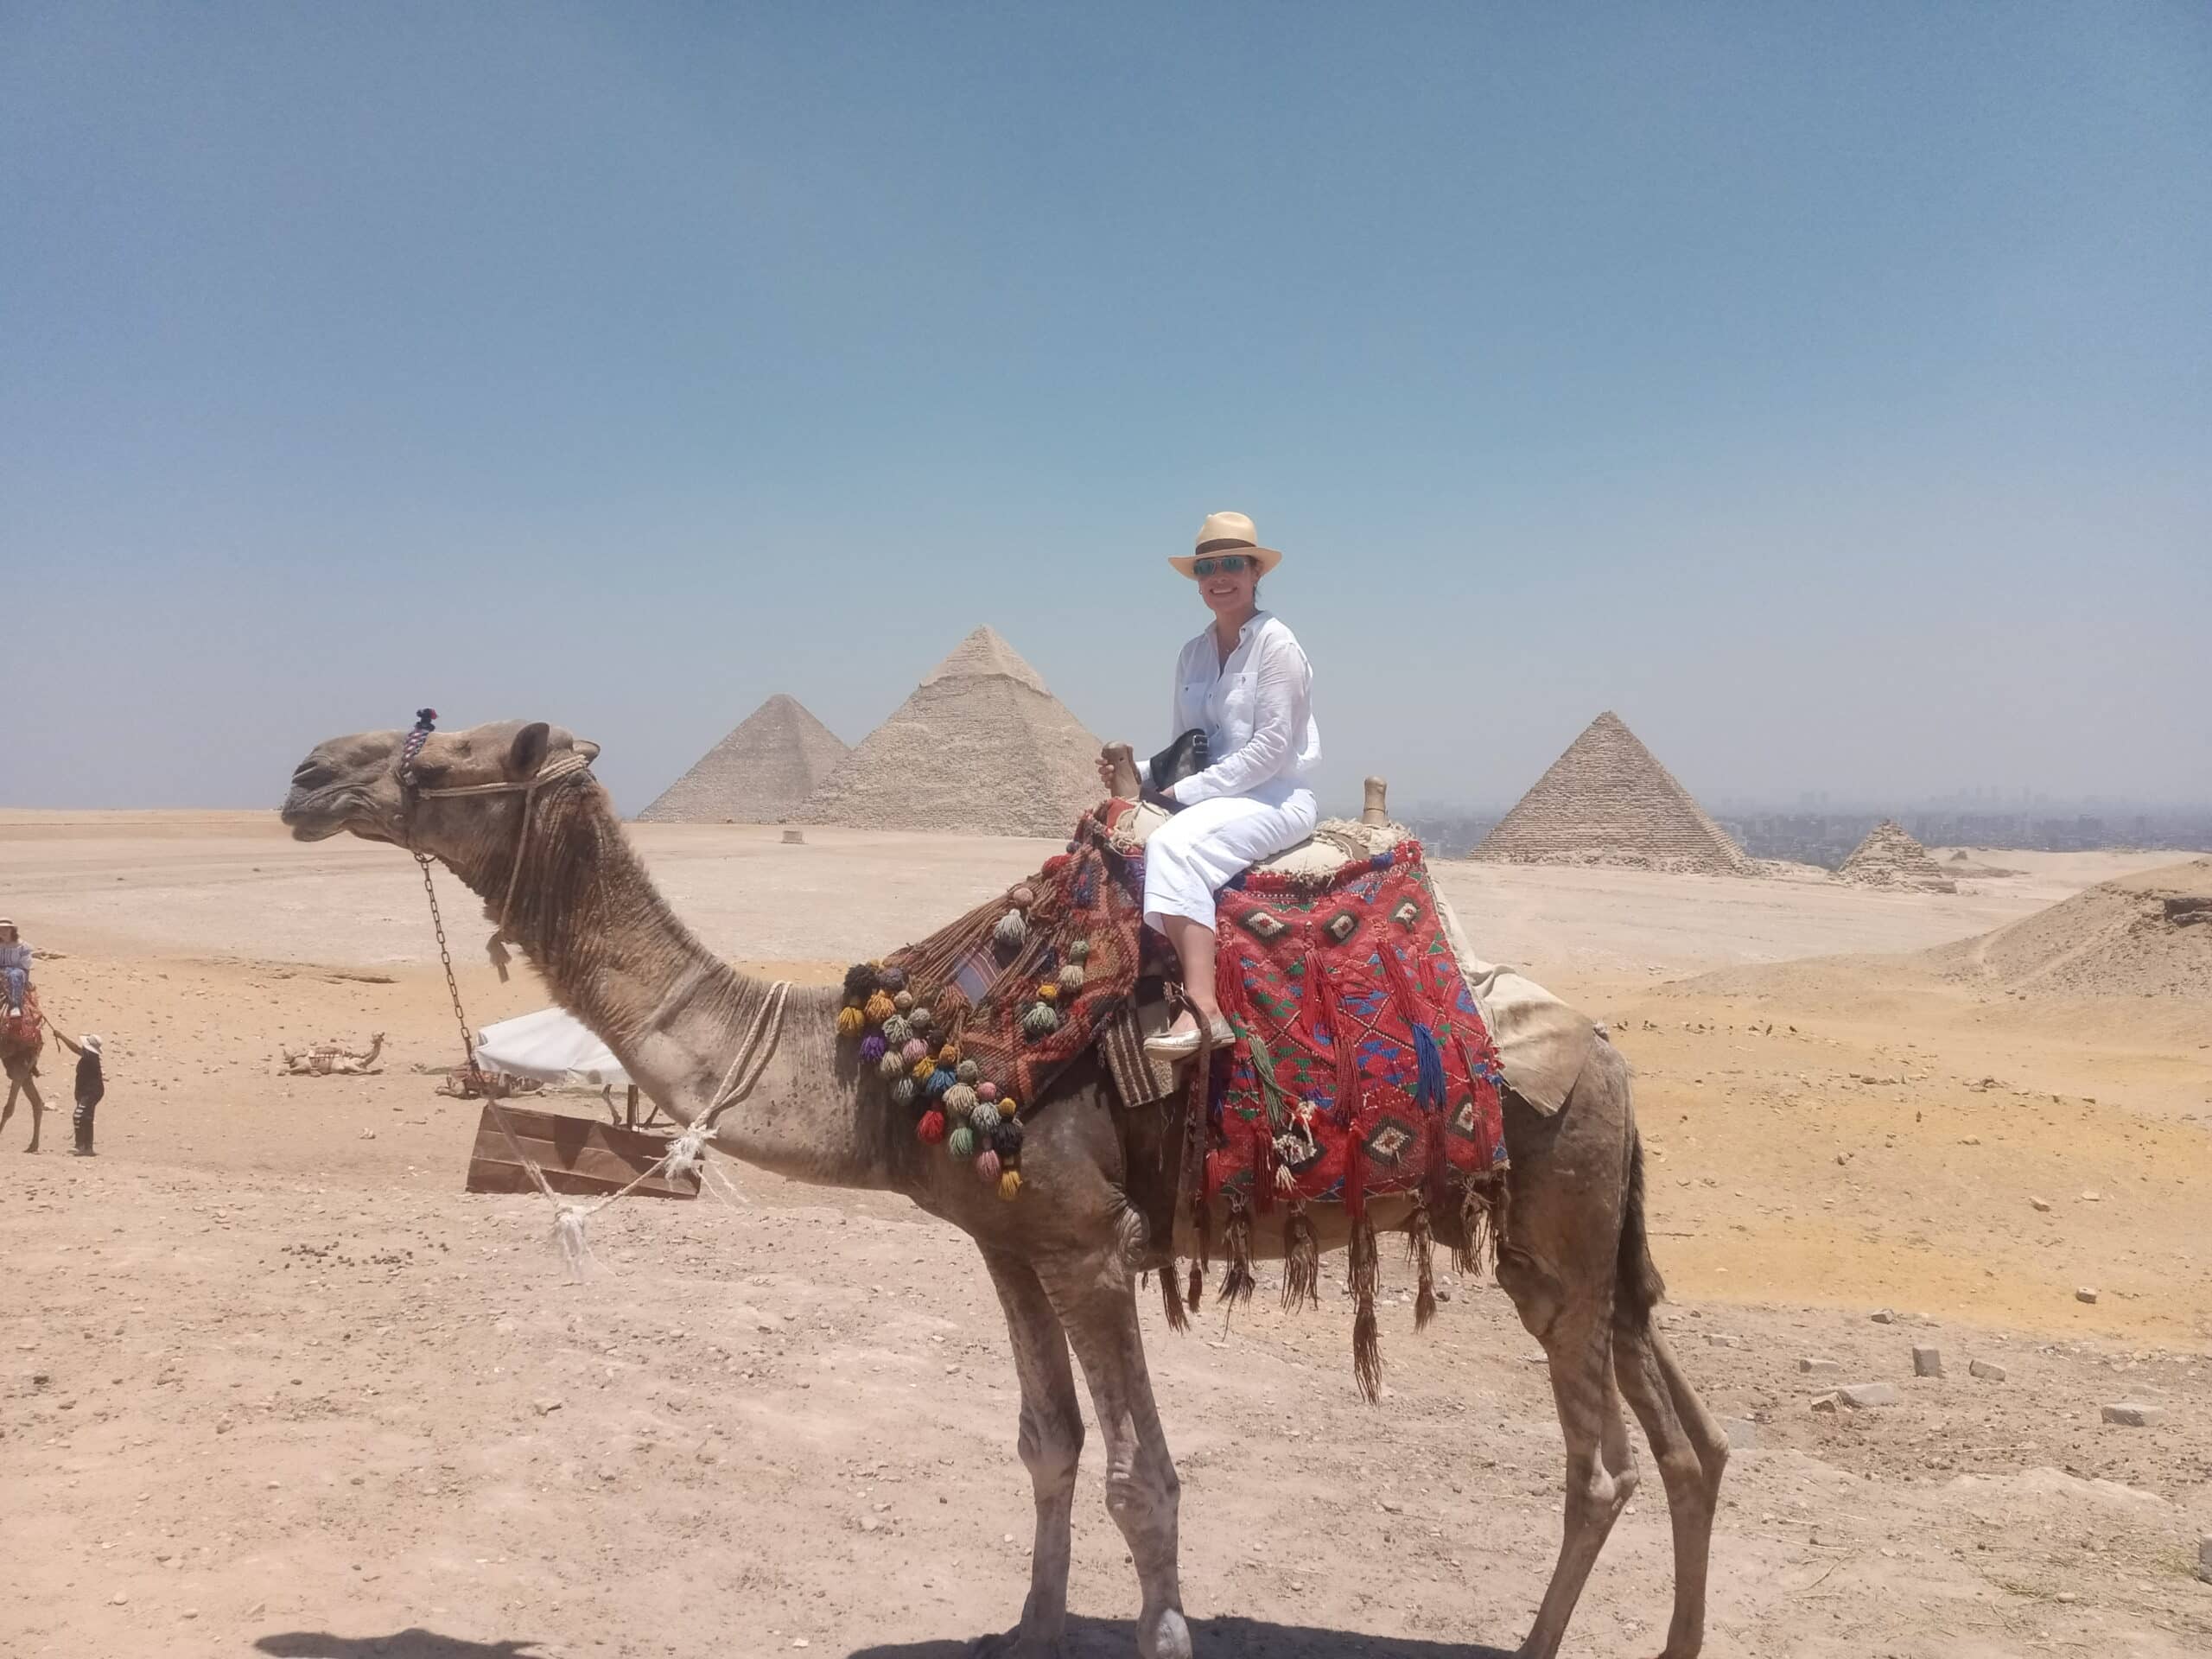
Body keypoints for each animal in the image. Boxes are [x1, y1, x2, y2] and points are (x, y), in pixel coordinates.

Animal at [279, 718, 1728, 1659]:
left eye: (443, 757)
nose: (306, 774)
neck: (872, 1062)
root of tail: (1603, 1050)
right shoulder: (1004, 1243)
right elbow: (1050, 1442)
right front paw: (1031, 1627)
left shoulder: (1090, 1244)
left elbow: (1143, 1476)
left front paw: (1160, 1635)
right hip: (1588, 1245)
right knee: (1688, 1442)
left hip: (1558, 1218)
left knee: (1601, 1466)